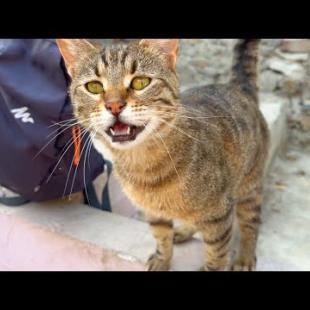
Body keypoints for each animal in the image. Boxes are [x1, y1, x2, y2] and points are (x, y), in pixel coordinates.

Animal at [57, 39, 268, 272]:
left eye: (140, 82)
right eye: (93, 86)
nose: (114, 105)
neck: (144, 166)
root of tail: (237, 86)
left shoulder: (219, 216)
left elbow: (216, 254)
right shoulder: (154, 213)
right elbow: (161, 237)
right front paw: (162, 259)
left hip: (249, 188)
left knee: (251, 224)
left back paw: (244, 257)